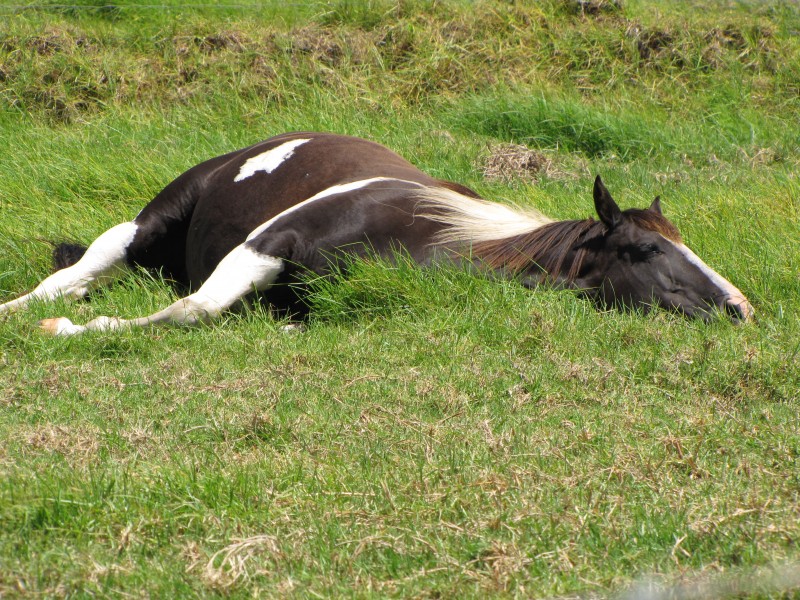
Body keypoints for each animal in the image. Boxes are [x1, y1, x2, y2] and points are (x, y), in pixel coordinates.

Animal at [0, 132, 753, 334]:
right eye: (646, 249)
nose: (739, 307)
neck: (421, 236)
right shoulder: (266, 245)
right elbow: (193, 311)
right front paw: (70, 331)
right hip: (153, 218)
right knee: (84, 266)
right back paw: (33, 308)